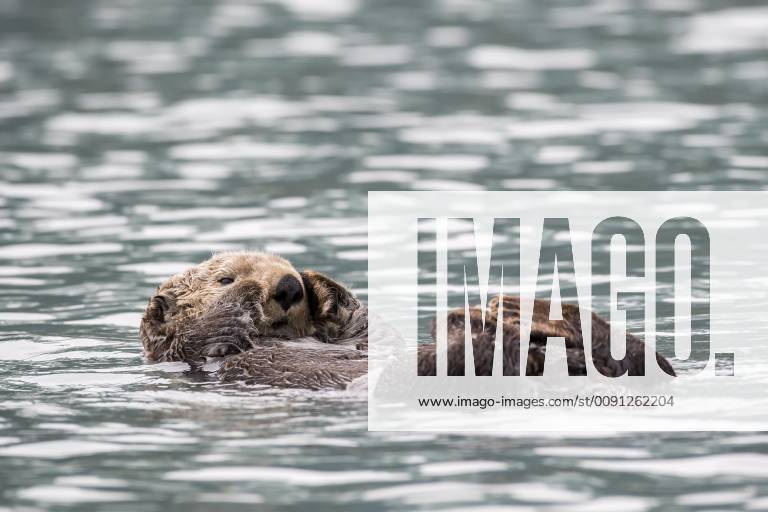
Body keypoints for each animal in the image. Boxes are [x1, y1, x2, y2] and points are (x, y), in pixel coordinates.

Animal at [139, 251, 674, 390]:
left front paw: (318, 283)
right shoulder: (190, 352)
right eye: (223, 277)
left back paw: (519, 310)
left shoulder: (355, 331)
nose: (288, 285)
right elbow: (202, 335)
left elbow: (363, 325)